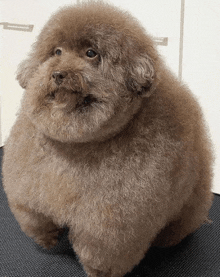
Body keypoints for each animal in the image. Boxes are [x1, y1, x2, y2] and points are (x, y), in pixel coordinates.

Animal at [2, 2, 214, 276]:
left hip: (189, 201)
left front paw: (97, 271)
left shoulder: (112, 222)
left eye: (91, 53)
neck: (76, 144)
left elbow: (102, 250)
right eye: (56, 51)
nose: (58, 74)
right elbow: (33, 215)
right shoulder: (28, 182)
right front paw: (47, 238)